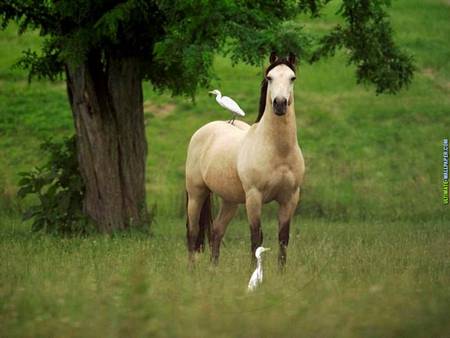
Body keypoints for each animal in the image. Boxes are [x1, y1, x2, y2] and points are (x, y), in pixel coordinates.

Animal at [185, 51, 304, 266]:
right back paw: (192, 270)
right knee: (193, 232)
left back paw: (213, 269)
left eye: (293, 78)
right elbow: (256, 238)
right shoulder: (254, 197)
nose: (280, 104)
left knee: (216, 231)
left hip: (229, 200)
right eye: (269, 77)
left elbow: (283, 239)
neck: (278, 151)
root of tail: (202, 132)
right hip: (196, 193)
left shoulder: (290, 198)